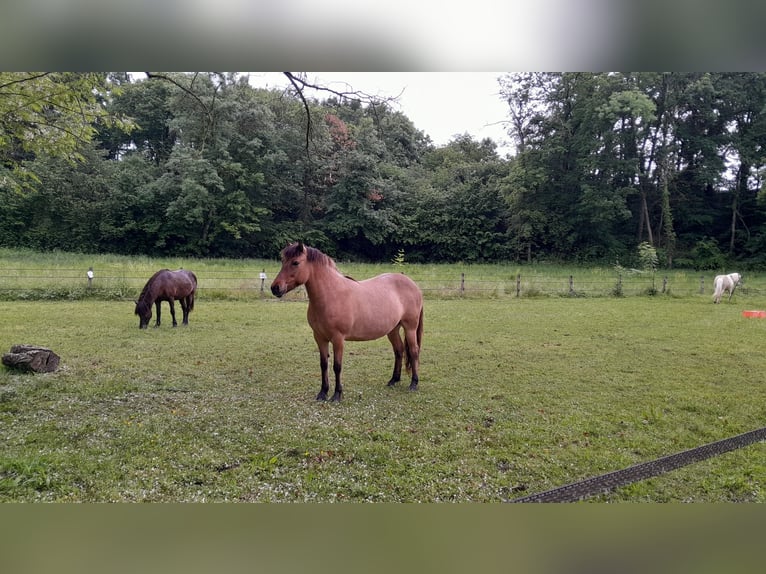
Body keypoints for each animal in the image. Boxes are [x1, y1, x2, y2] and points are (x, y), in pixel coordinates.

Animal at [271, 243, 424, 402]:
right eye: (283, 261)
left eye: (295, 263)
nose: (275, 288)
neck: (331, 294)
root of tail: (414, 285)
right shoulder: (319, 337)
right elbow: (323, 364)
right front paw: (323, 393)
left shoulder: (338, 339)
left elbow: (337, 366)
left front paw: (337, 395)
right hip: (392, 330)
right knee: (399, 350)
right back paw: (393, 380)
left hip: (410, 328)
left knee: (414, 351)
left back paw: (414, 383)